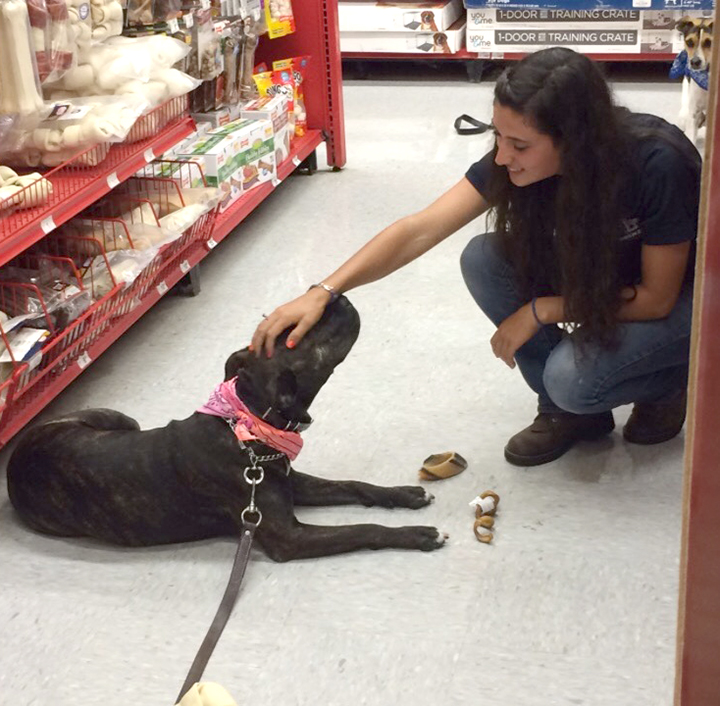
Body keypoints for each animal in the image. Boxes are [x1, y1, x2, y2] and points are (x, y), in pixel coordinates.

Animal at [7, 294, 444, 560]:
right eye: (295, 333)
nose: (333, 295)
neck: (250, 422)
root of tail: (14, 462)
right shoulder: (290, 537)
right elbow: (361, 528)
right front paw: (417, 534)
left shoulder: (292, 481)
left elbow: (354, 485)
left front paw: (403, 494)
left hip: (118, 419)